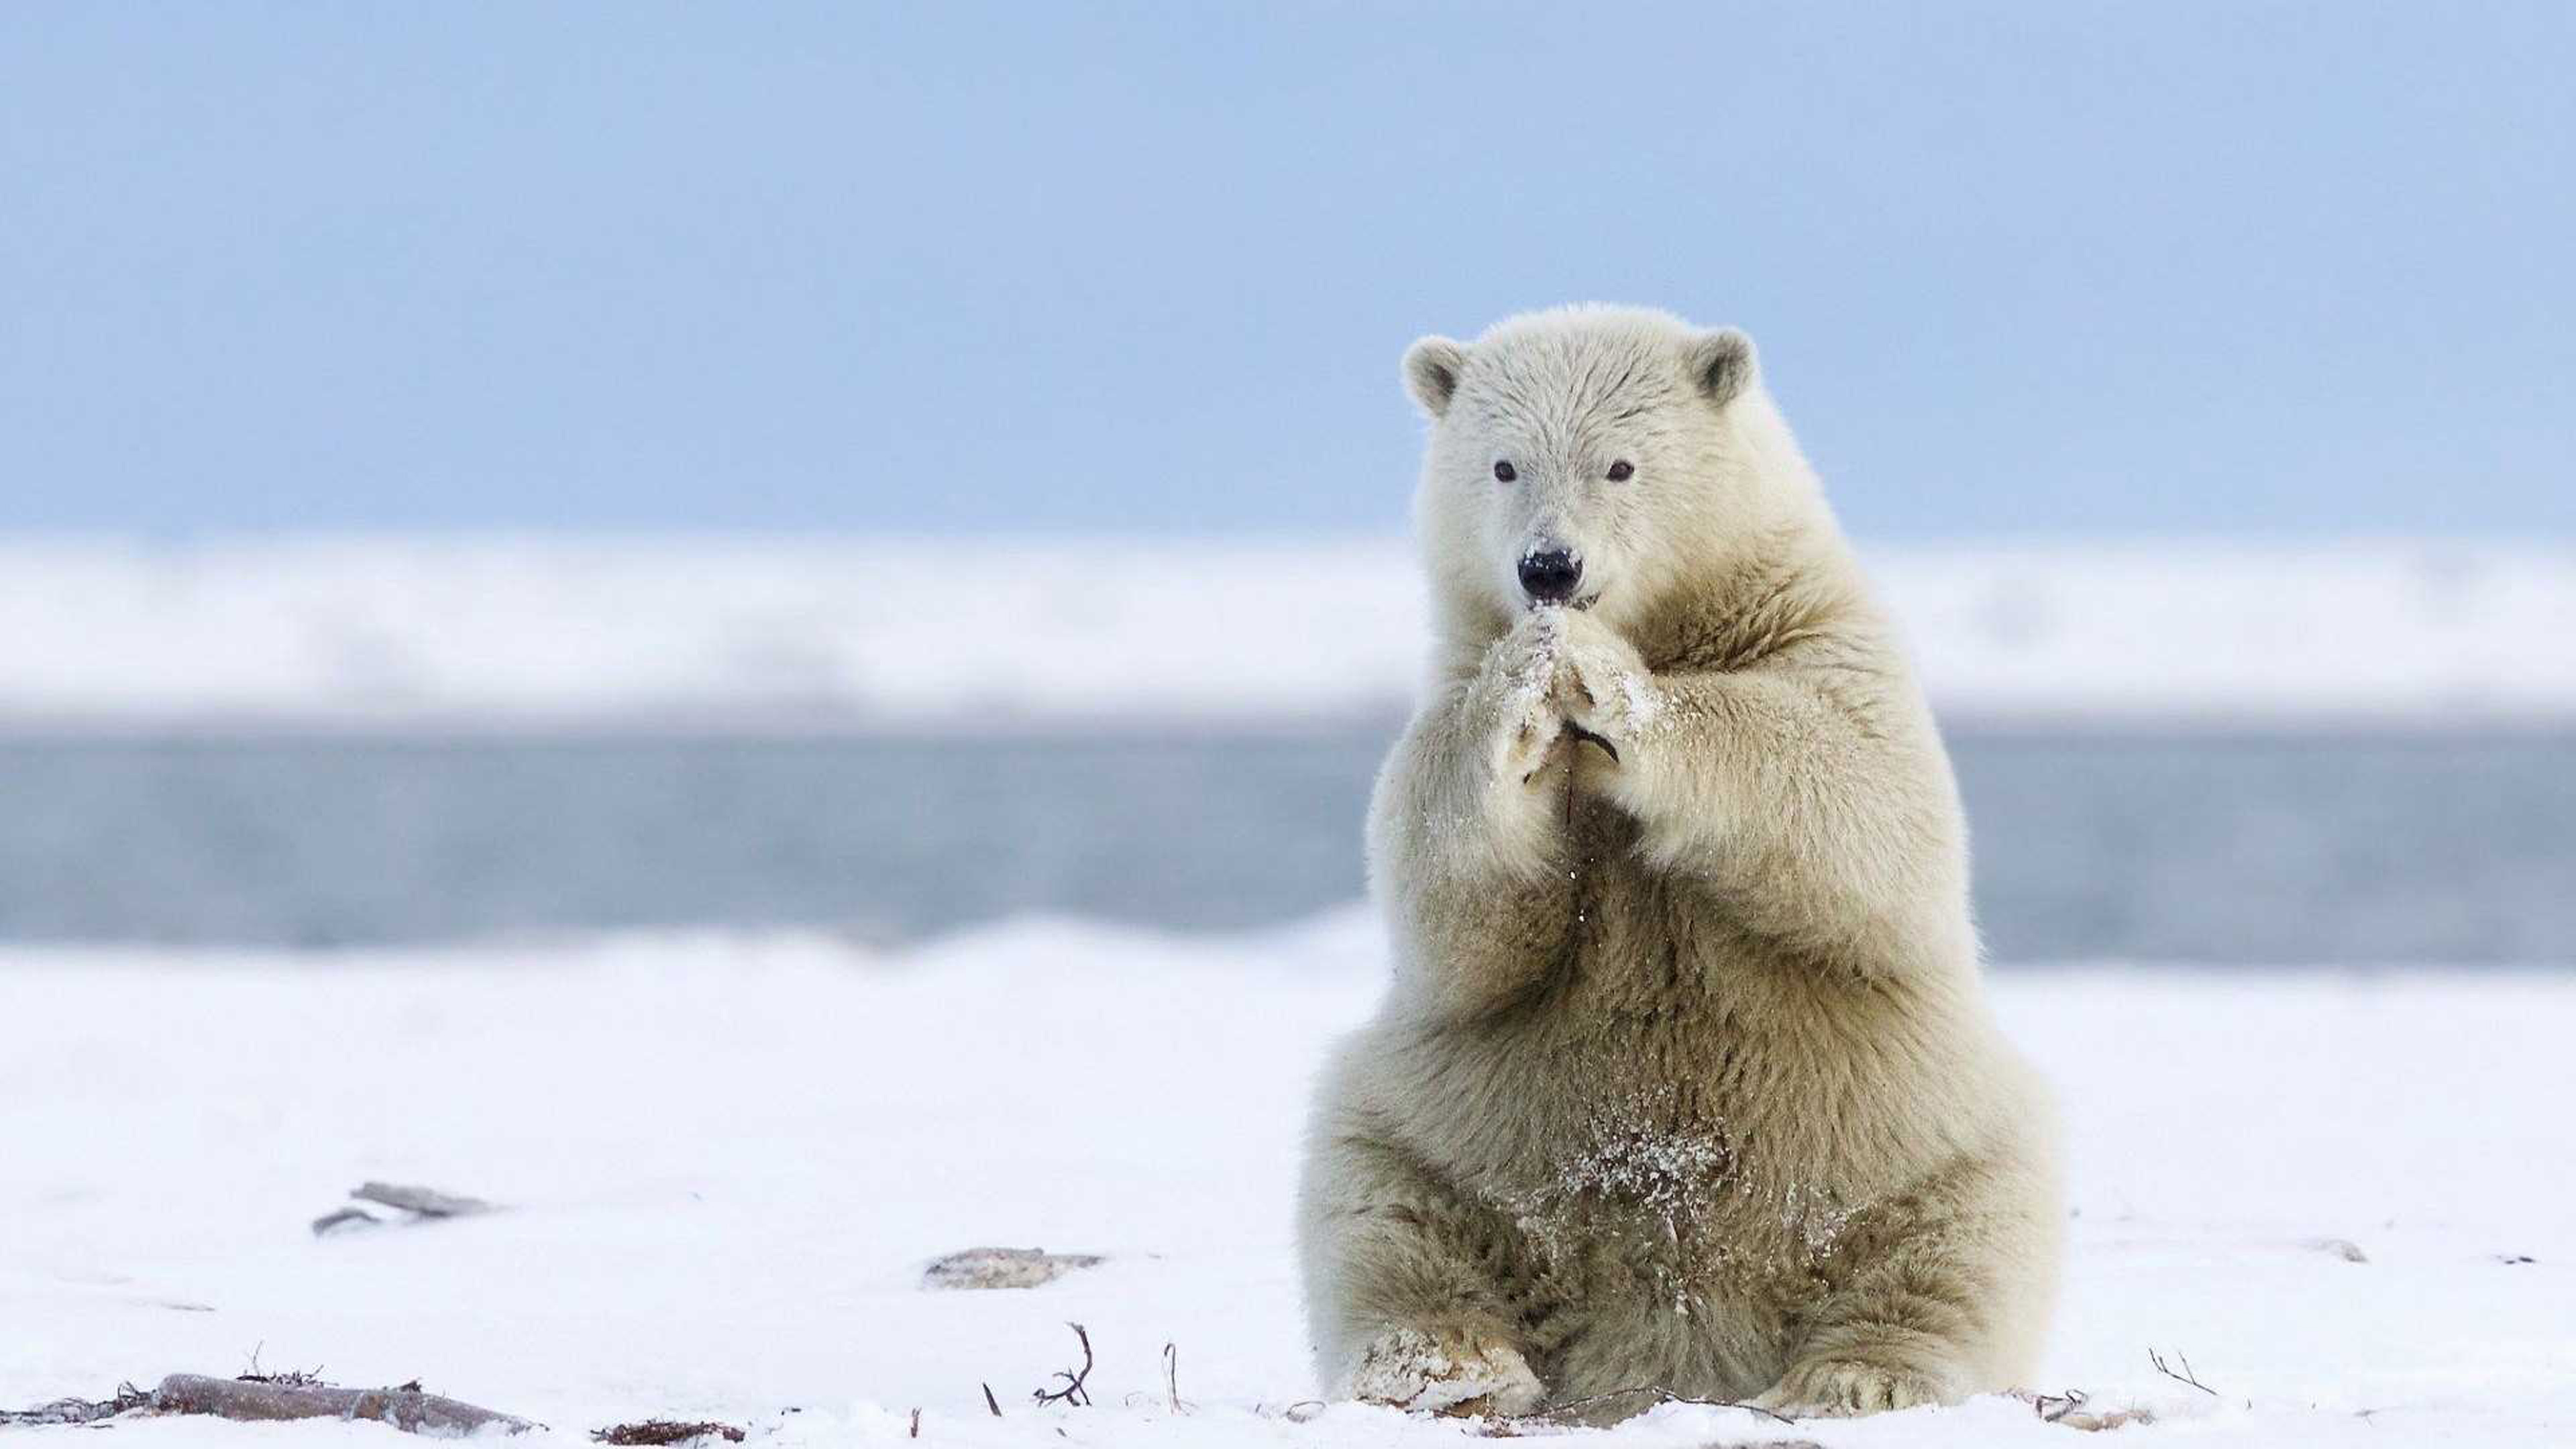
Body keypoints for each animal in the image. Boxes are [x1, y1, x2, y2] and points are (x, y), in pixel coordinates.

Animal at [1298, 299, 2061, 1413]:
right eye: (1503, 464)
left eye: (1620, 465)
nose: (1549, 569)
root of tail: (1666, 1346)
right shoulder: (1444, 686)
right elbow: (1447, 904)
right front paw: (1526, 693)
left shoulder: (1821, 642)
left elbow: (1859, 799)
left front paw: (1608, 683)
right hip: (1450, 1125)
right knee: (1381, 1205)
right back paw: (1446, 1362)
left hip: (1915, 1132)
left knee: (1958, 1242)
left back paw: (1856, 1373)